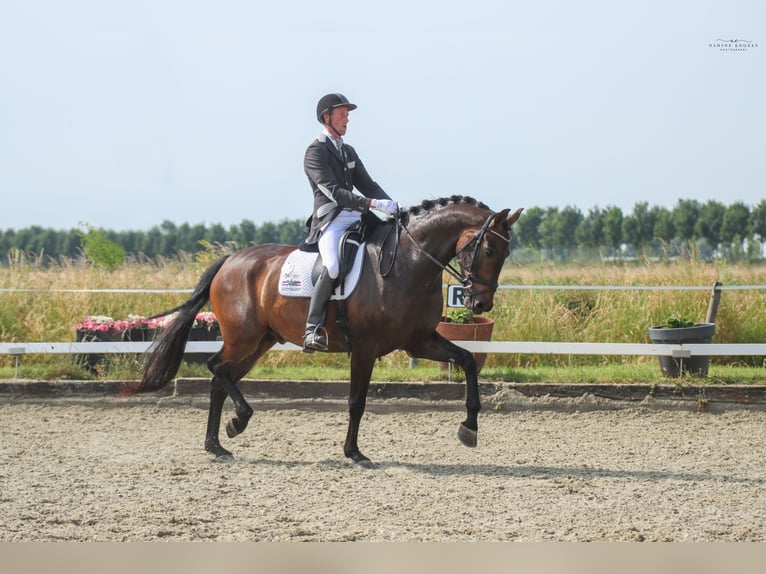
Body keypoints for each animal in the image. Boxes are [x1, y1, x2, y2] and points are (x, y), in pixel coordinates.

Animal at [129, 197, 524, 468]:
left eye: (505, 254)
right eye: (490, 249)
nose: (480, 304)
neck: (408, 264)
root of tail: (230, 260)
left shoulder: (419, 341)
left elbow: (468, 360)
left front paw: (469, 428)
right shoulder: (365, 348)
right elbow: (357, 401)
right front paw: (354, 452)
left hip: (259, 342)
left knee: (220, 377)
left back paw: (218, 442)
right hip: (243, 337)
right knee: (215, 368)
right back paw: (237, 422)